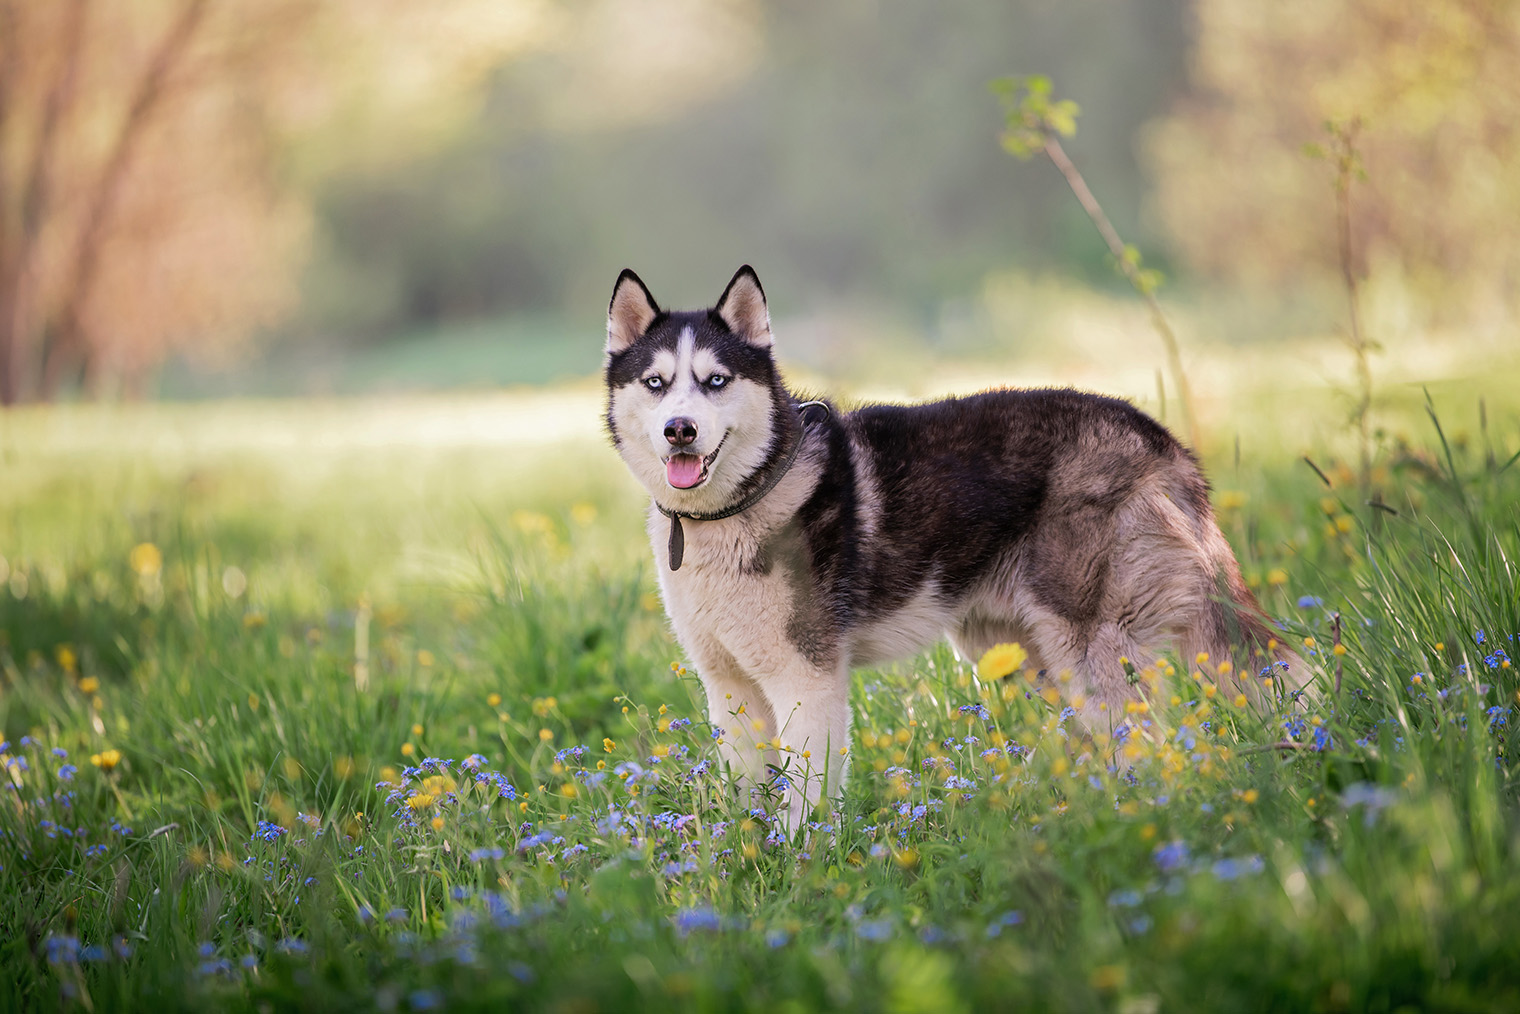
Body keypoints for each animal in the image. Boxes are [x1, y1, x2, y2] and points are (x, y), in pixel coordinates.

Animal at [601, 266, 1295, 827]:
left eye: (715, 380)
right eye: (657, 383)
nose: (680, 429)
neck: (739, 503)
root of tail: (1159, 438)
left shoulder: (808, 679)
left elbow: (806, 802)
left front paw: (805, 869)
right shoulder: (730, 690)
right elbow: (746, 797)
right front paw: (746, 859)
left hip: (1089, 653)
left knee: (1154, 746)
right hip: (1021, 656)